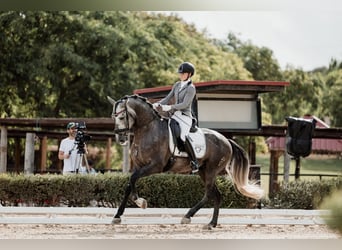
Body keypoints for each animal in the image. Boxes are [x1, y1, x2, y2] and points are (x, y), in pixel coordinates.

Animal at [108, 94, 264, 229]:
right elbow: (129, 183)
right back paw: (211, 224)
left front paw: (140, 201)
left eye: (122, 116)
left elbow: (133, 179)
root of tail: (226, 140)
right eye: (113, 117)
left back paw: (188, 216)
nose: (120, 138)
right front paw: (117, 216)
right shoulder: (138, 166)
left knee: (208, 194)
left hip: (211, 170)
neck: (148, 128)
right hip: (203, 171)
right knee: (217, 195)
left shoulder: (155, 166)